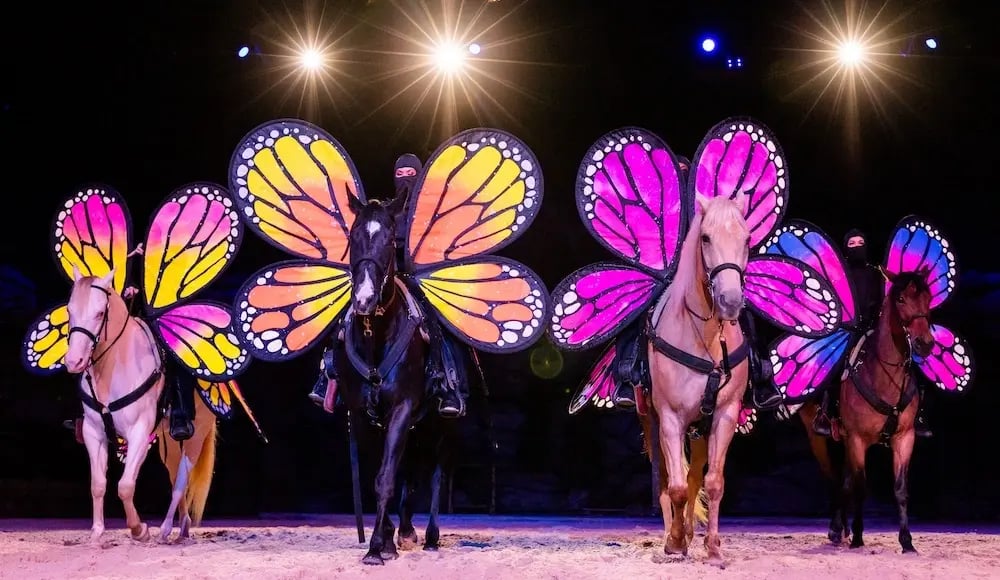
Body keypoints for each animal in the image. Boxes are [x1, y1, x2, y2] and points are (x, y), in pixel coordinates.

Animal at [63, 268, 217, 544]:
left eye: (100, 313)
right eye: (70, 311)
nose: (74, 361)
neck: (113, 369)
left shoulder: (138, 433)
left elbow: (125, 486)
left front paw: (139, 529)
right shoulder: (93, 433)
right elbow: (98, 484)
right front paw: (97, 531)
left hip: (195, 437)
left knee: (181, 481)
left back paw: (165, 529)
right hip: (168, 442)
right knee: (176, 476)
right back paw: (183, 527)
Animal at [336, 194, 454, 565]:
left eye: (389, 242)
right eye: (353, 237)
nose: (364, 299)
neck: (376, 335)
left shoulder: (402, 408)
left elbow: (386, 477)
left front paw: (375, 547)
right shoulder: (362, 415)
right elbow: (379, 474)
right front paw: (386, 539)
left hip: (440, 425)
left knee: (436, 473)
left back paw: (430, 536)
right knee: (411, 470)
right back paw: (404, 530)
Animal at [640, 192, 752, 566]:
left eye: (747, 239)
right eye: (705, 238)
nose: (730, 302)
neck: (704, 336)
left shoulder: (724, 415)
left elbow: (711, 482)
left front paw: (713, 546)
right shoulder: (670, 419)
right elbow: (674, 486)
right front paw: (674, 542)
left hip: (701, 429)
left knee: (693, 476)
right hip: (653, 420)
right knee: (667, 478)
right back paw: (673, 533)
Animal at [798, 269, 934, 553]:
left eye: (928, 297)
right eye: (901, 299)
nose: (925, 344)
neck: (883, 375)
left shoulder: (904, 438)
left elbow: (900, 488)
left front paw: (907, 542)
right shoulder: (858, 439)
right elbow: (861, 488)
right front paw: (859, 538)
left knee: (845, 480)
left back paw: (841, 529)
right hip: (824, 440)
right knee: (837, 480)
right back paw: (838, 530)